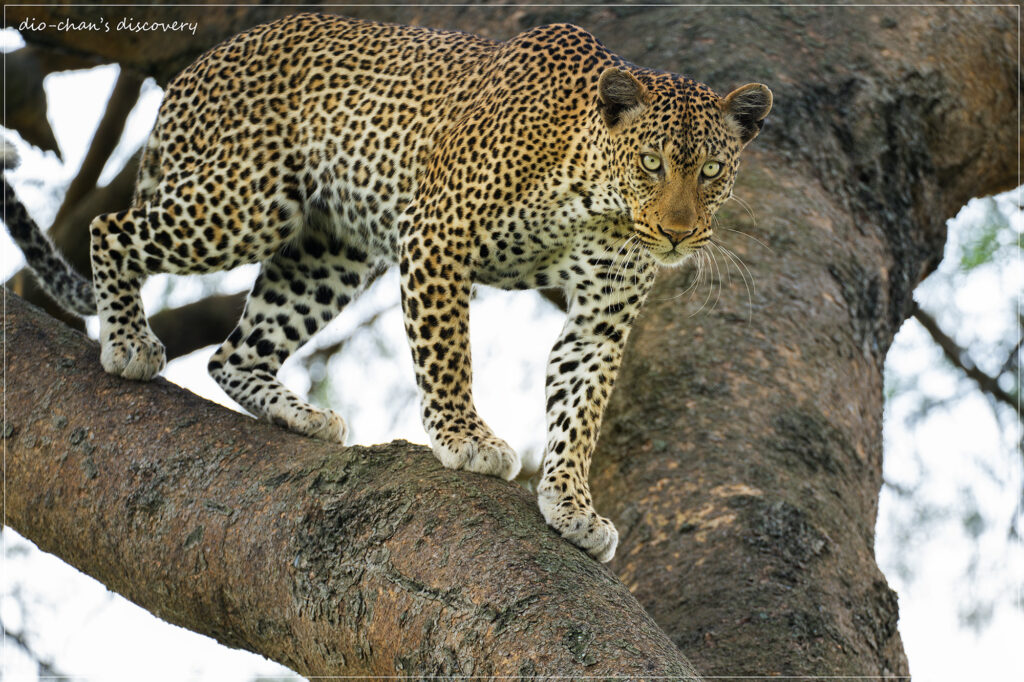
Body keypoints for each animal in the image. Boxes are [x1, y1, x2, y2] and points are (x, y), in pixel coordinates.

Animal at [0, 13, 770, 561]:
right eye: (651, 163)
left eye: (710, 171)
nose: (677, 234)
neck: (597, 202)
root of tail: (197, 68)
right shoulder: (437, 237)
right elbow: (448, 358)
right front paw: (467, 439)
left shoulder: (601, 319)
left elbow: (579, 411)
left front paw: (573, 506)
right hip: (243, 205)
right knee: (112, 228)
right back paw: (129, 341)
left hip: (327, 253)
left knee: (234, 353)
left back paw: (298, 415)